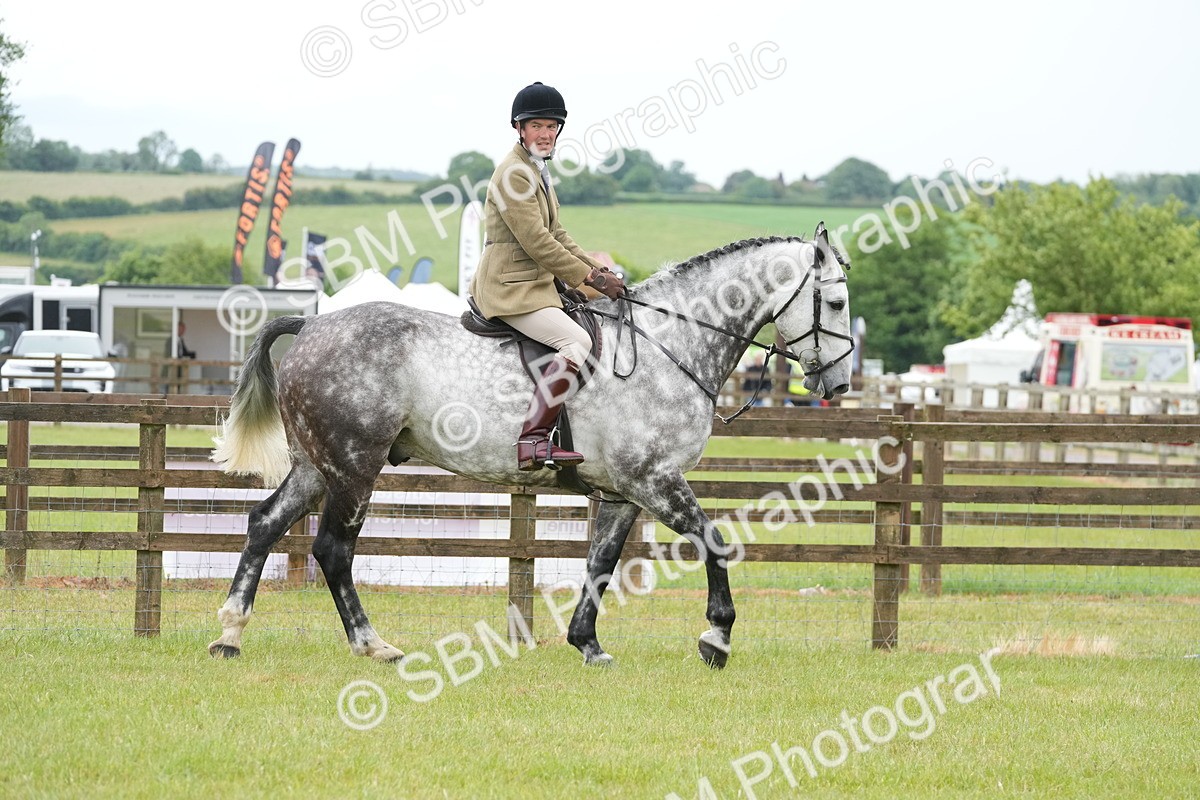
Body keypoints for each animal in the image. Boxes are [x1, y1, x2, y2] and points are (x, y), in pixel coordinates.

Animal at [208, 224, 853, 669]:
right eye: (837, 303)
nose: (840, 385)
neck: (668, 342)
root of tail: (312, 324)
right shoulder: (655, 480)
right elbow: (715, 543)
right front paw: (716, 637)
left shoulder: (624, 492)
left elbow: (601, 563)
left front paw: (587, 643)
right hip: (353, 466)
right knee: (333, 550)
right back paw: (374, 646)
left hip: (317, 466)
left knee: (265, 524)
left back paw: (230, 634)